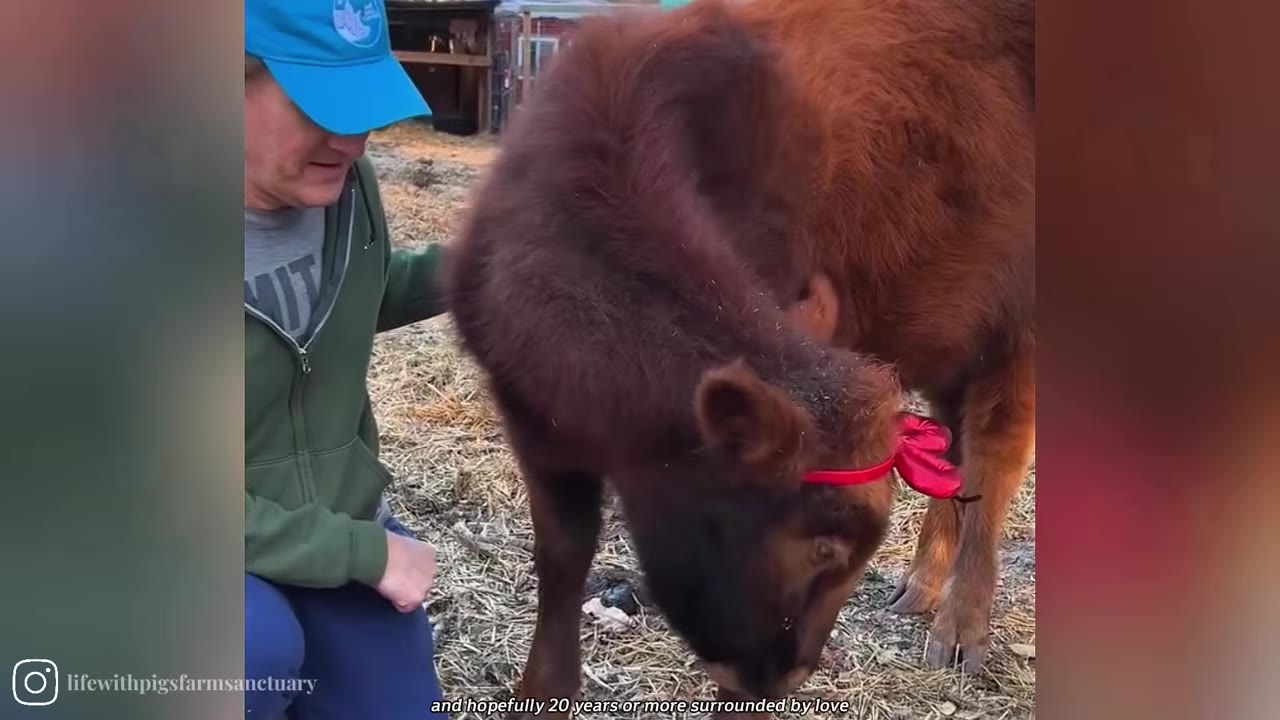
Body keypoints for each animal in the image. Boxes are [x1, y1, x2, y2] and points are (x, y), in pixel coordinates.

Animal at [443, 0, 1034, 715]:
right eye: (824, 546)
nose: (789, 675)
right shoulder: (532, 421)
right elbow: (562, 557)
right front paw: (542, 687)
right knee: (954, 448)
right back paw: (918, 588)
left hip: (1016, 332)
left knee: (995, 452)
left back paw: (959, 630)